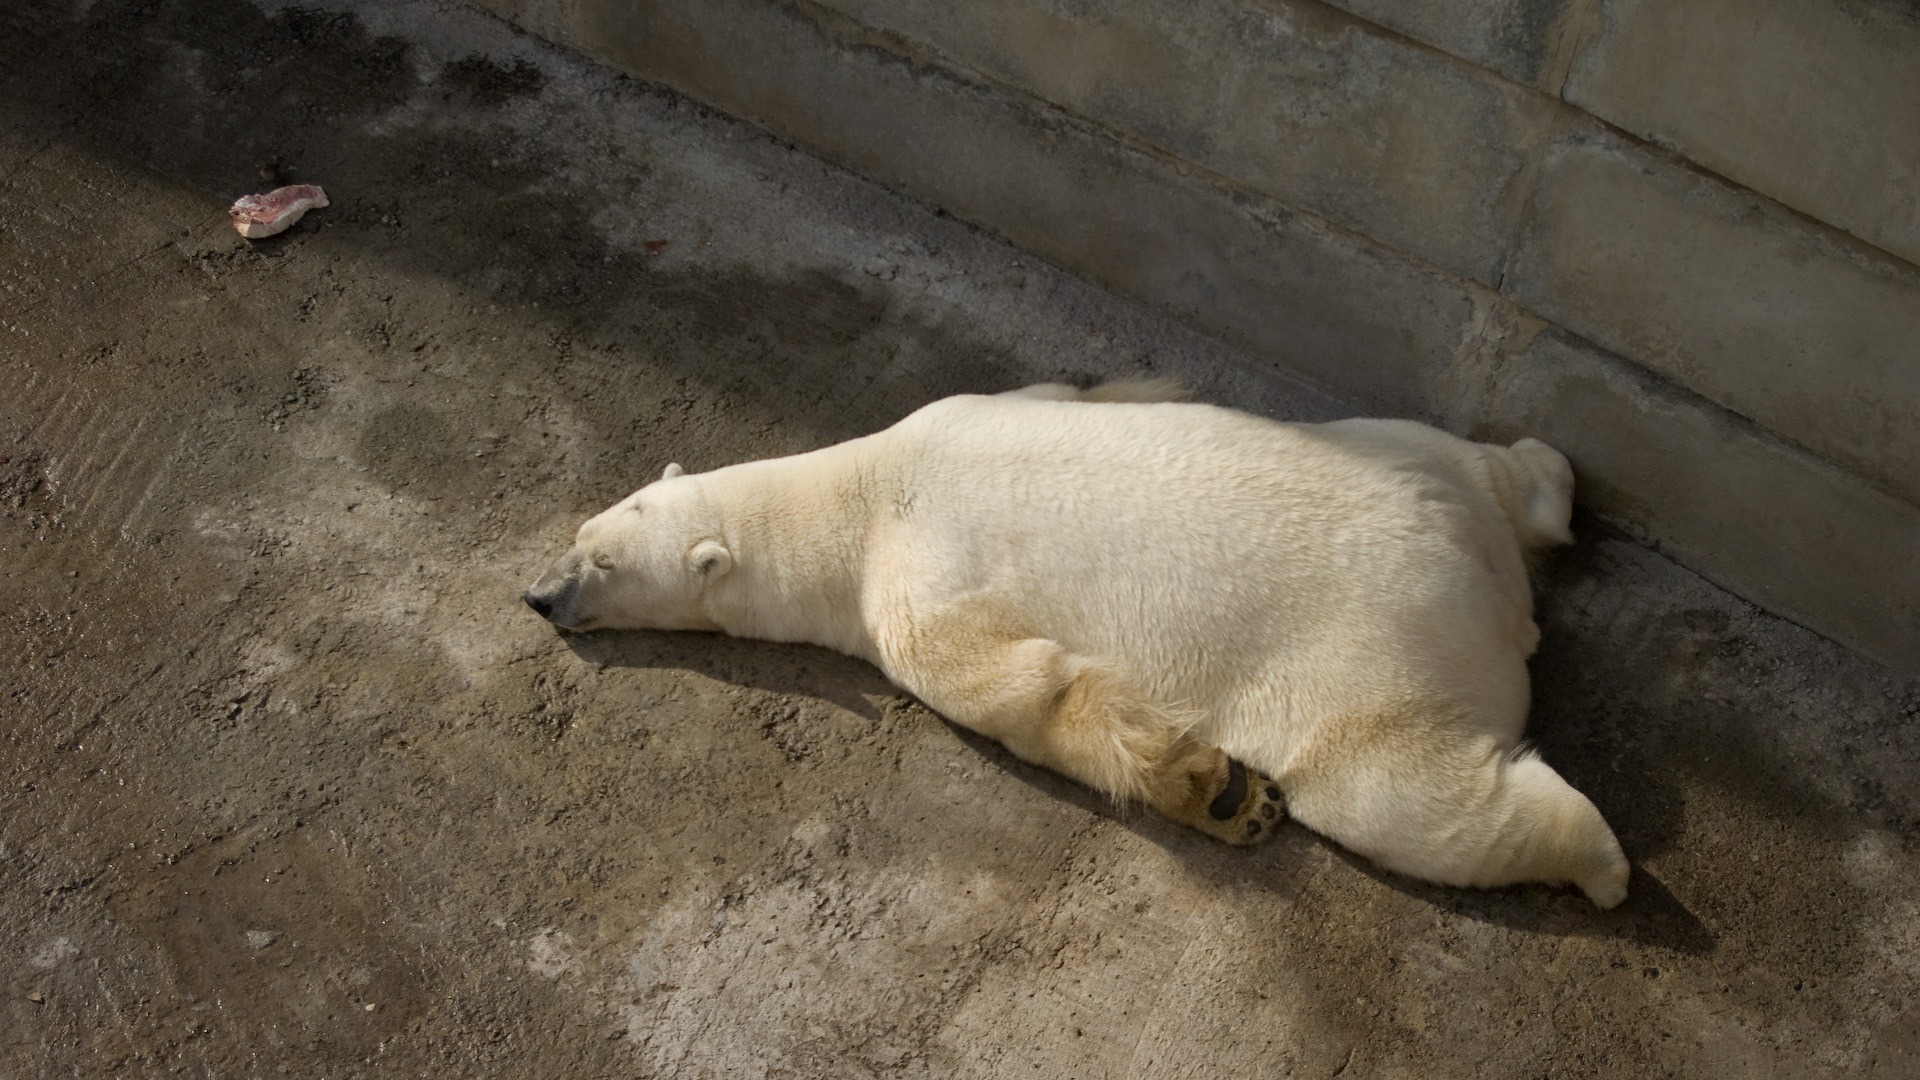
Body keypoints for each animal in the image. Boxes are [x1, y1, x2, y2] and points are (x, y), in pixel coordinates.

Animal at [529, 382, 1635, 903]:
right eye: (582, 532)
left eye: (604, 564)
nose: (540, 595)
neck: (860, 493)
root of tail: (1479, 572)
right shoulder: (975, 407)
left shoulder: (910, 590)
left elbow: (1023, 686)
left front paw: (1213, 786)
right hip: (1408, 448)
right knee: (1504, 462)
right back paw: (1550, 481)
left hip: (1366, 660)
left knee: (1408, 798)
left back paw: (1601, 864)